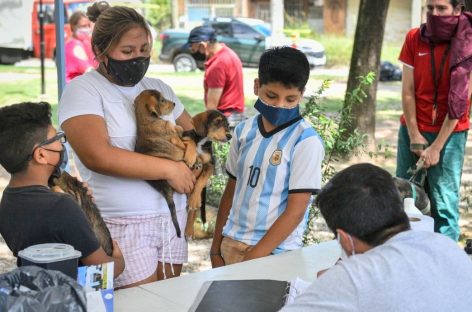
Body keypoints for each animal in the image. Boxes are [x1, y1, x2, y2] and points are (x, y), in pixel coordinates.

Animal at [135, 89, 197, 238]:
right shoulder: (175, 139)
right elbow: (188, 141)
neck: (147, 119)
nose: (174, 103)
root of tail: (165, 189)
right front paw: (192, 156)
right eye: (162, 100)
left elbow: (183, 132)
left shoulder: (178, 133)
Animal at [183, 109, 231, 239]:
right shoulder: (185, 136)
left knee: (192, 211)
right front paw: (191, 156)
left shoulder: (210, 165)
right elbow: (190, 140)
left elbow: (201, 181)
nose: (230, 136)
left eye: (227, 125)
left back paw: (189, 231)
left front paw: (195, 198)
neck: (203, 141)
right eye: (217, 122)